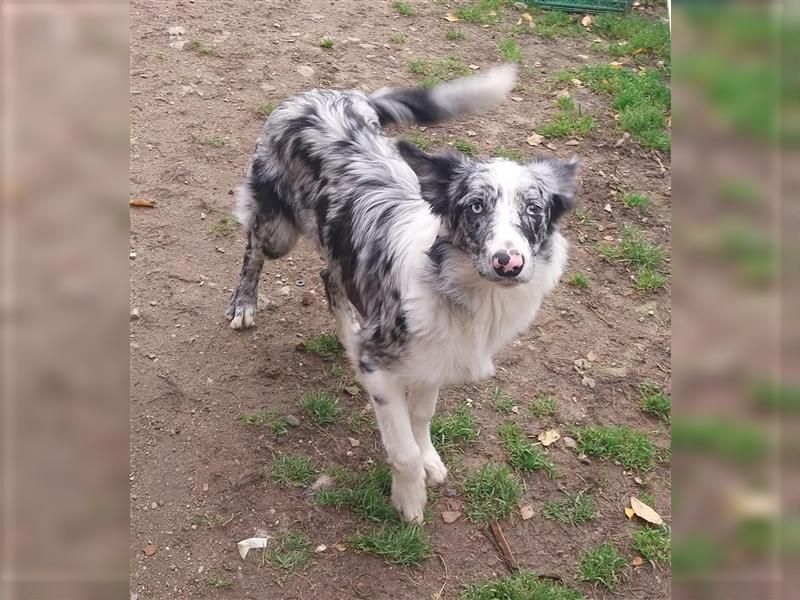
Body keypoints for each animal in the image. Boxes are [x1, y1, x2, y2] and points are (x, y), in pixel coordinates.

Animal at [228, 65, 580, 520]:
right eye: (475, 207)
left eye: (534, 209)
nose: (508, 262)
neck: (462, 289)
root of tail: (325, 93)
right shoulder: (381, 370)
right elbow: (402, 450)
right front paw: (410, 501)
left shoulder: (434, 359)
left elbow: (422, 418)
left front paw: (429, 459)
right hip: (278, 230)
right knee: (253, 247)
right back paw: (243, 304)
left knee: (329, 278)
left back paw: (348, 337)